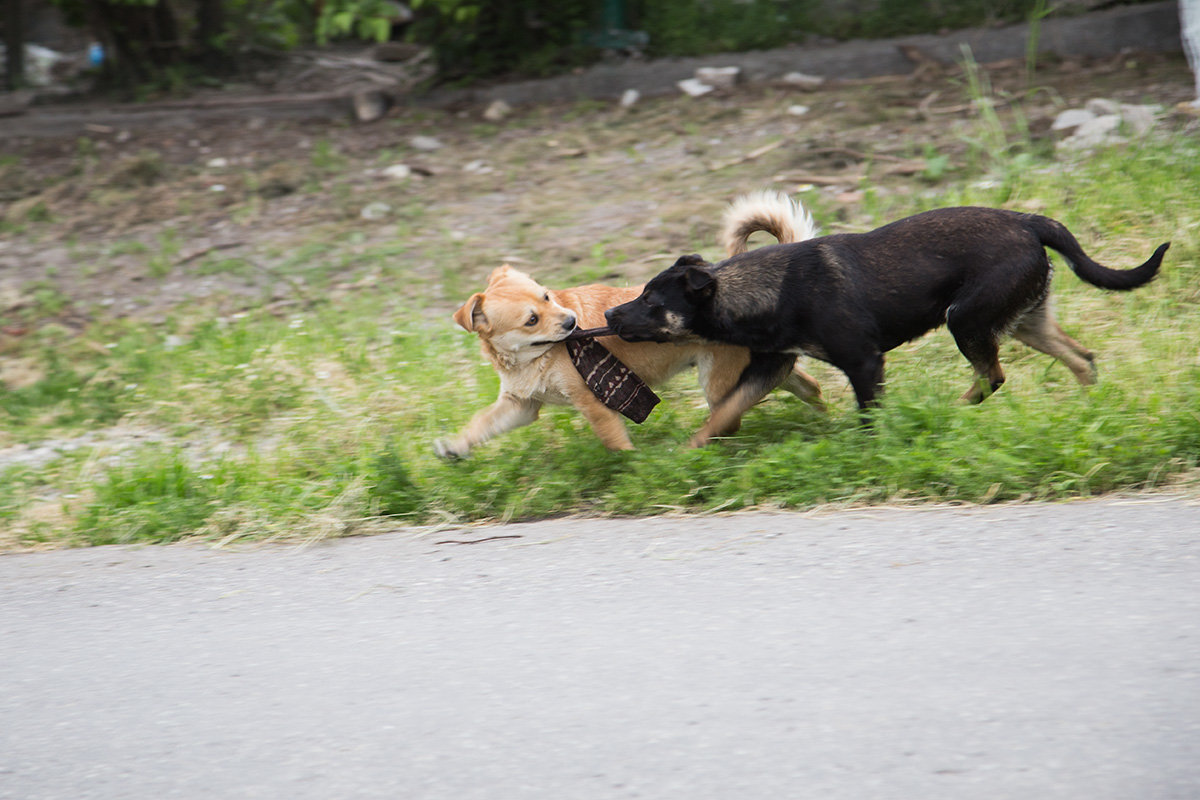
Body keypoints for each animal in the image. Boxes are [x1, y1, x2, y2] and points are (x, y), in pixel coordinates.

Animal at [434, 191, 825, 460]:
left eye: (547, 297)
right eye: (532, 319)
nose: (572, 321)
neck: (531, 358)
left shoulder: (593, 405)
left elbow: (614, 441)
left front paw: (632, 467)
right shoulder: (520, 407)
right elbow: (481, 424)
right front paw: (455, 446)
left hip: (717, 381)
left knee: (734, 415)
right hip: (746, 372)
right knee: (804, 384)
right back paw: (822, 417)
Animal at [604, 206, 1166, 448]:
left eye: (652, 300)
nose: (609, 316)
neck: (769, 291)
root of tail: (1029, 221)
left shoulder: (864, 363)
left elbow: (869, 417)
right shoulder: (771, 366)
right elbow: (722, 412)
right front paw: (687, 454)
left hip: (965, 318)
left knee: (993, 375)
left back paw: (947, 412)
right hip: (1025, 320)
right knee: (1081, 359)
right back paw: (1091, 409)